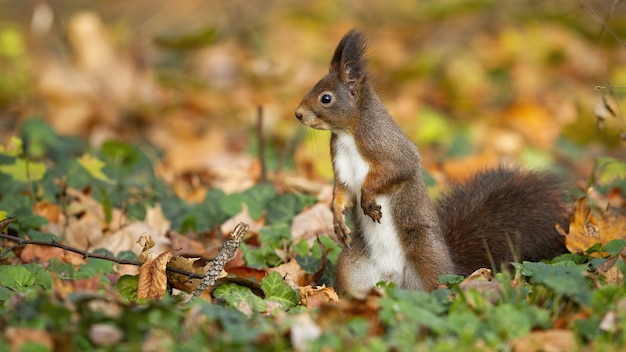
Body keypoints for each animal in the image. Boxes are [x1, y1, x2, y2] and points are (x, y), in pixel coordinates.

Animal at [294, 28, 568, 296]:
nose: (298, 114)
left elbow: (396, 171)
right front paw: (337, 218)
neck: (348, 133)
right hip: (352, 269)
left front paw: (369, 197)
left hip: (426, 258)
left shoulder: (390, 148)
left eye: (326, 98)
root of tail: (393, 282)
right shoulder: (340, 163)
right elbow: (342, 192)